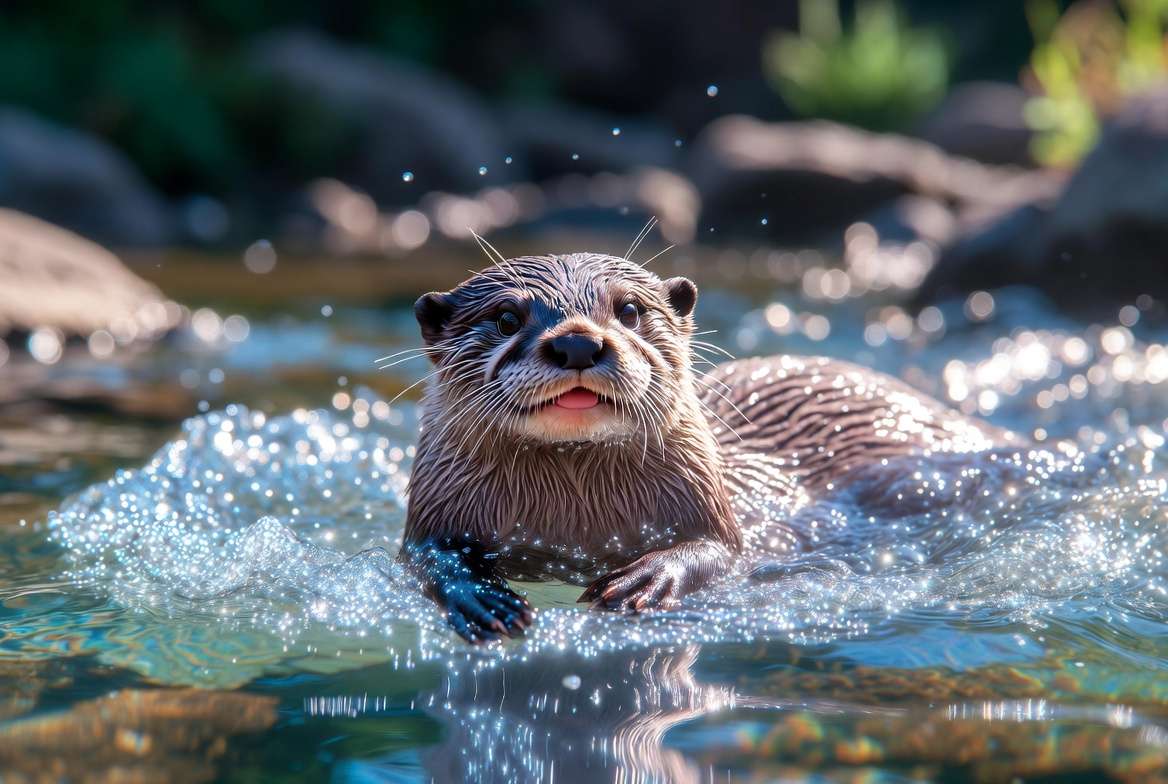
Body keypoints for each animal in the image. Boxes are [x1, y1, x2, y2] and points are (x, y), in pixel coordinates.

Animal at [400, 253, 1014, 643]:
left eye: (629, 310)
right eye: (507, 317)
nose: (576, 342)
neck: (571, 524)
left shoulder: (716, 511)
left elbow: (723, 552)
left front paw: (649, 578)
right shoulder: (434, 511)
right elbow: (424, 556)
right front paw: (481, 596)